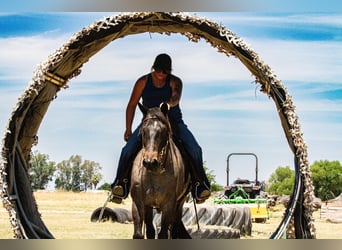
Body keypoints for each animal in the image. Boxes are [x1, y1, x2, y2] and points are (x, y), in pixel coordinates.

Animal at [130, 102, 191, 239]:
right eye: (143, 131)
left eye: (163, 131)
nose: (150, 162)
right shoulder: (138, 202)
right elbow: (139, 233)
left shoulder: (169, 205)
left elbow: (163, 233)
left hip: (179, 204)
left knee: (174, 228)